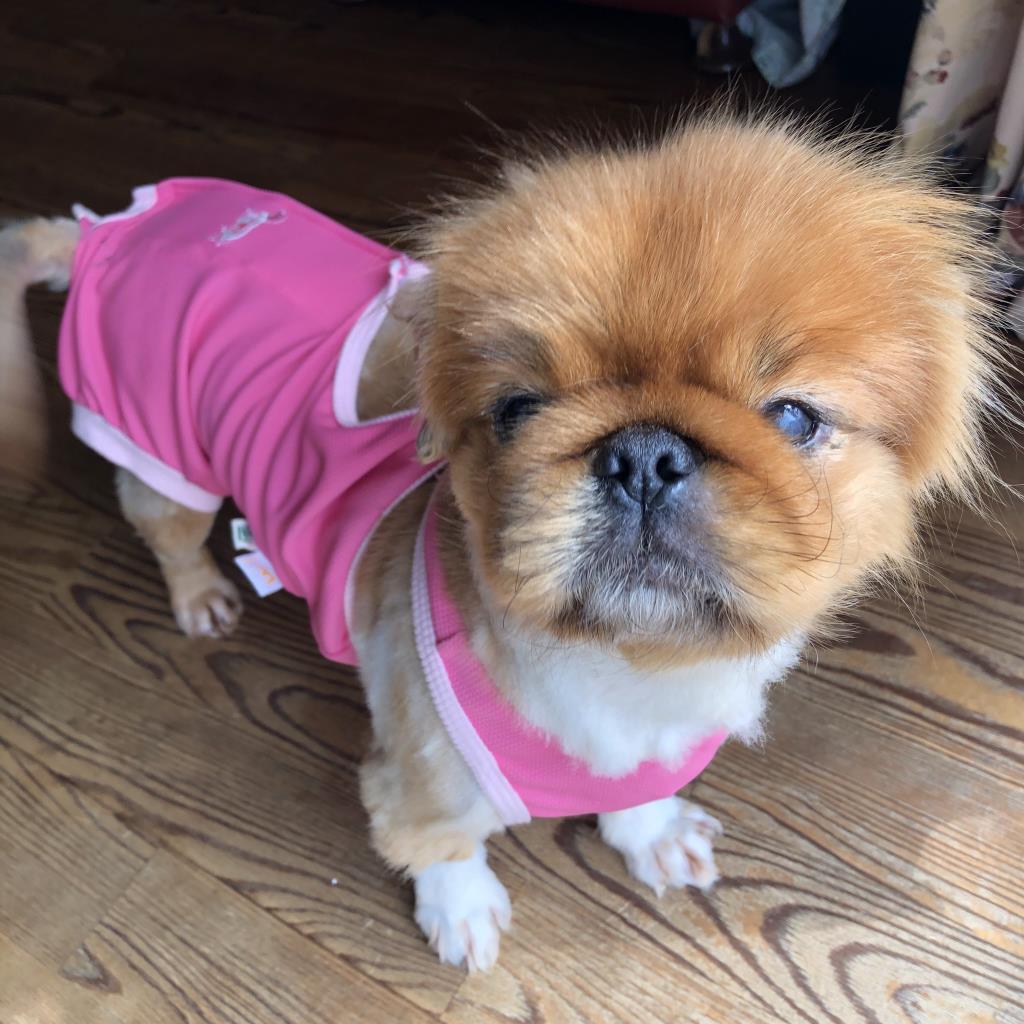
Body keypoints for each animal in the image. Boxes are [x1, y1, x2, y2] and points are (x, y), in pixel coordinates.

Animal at [0, 115, 1004, 971]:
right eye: (518, 410)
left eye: (793, 417)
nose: (644, 455)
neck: (626, 669)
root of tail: (114, 226)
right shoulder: (421, 781)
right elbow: (441, 846)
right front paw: (463, 913)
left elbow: (634, 797)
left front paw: (649, 835)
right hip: (159, 448)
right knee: (167, 532)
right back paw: (202, 594)